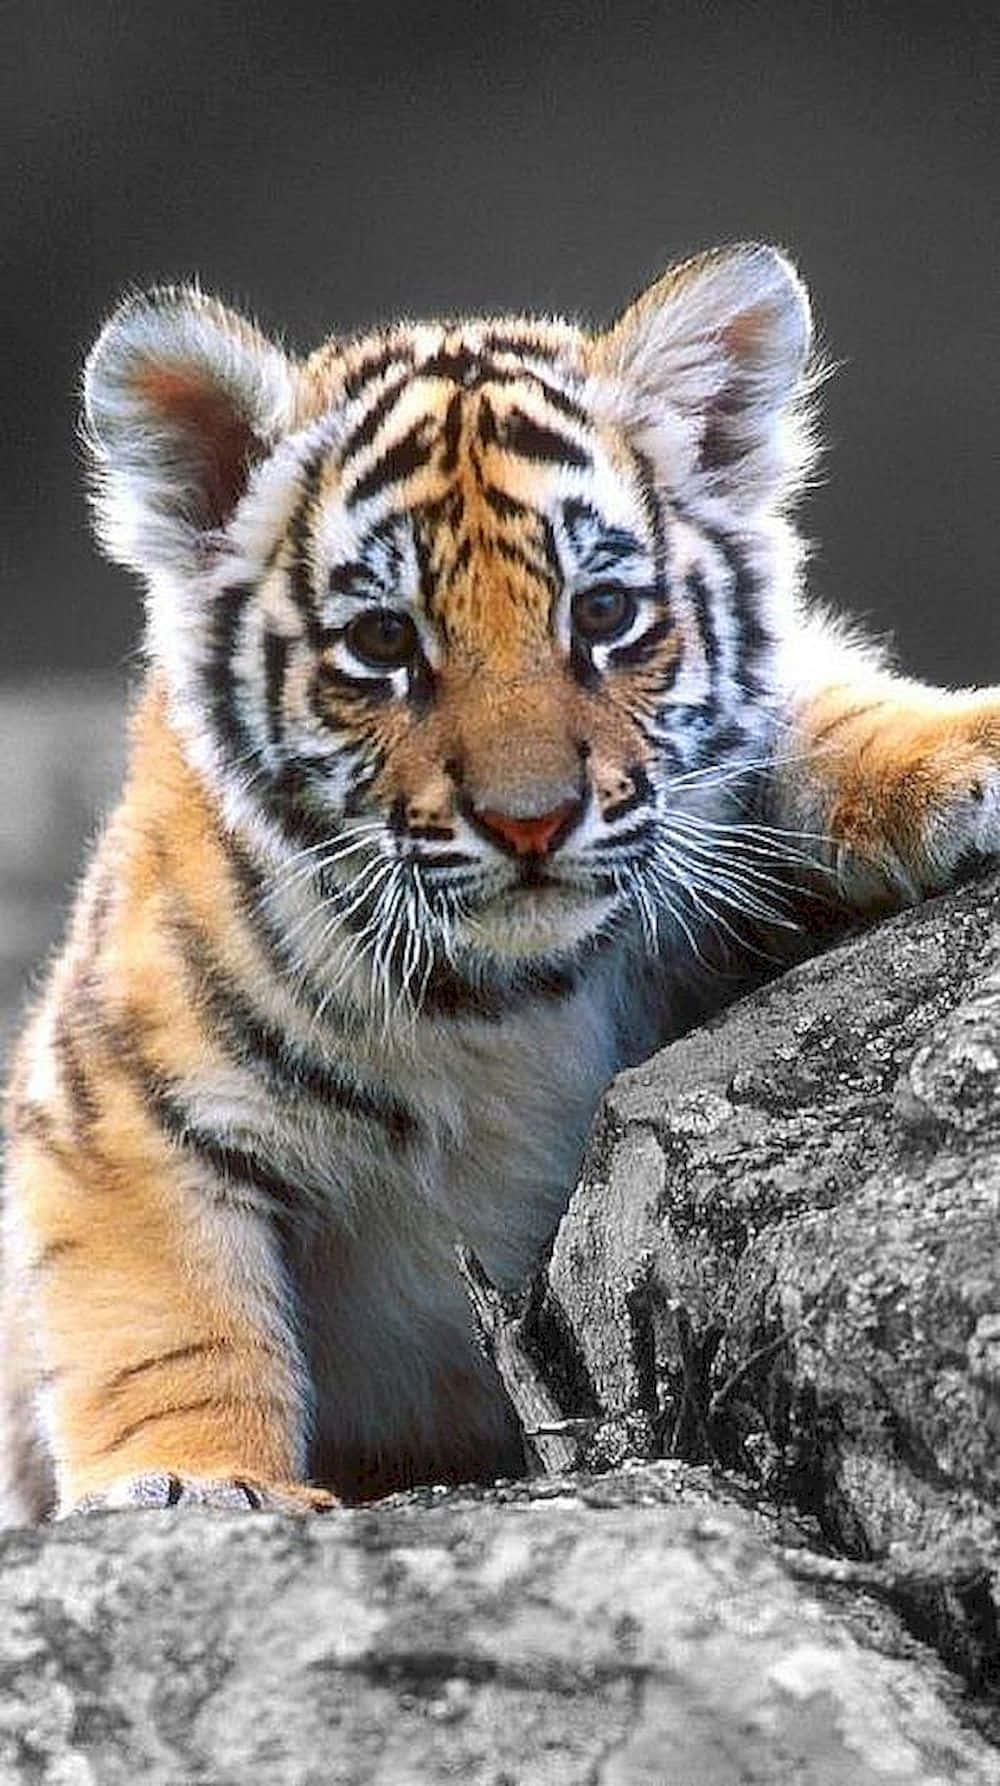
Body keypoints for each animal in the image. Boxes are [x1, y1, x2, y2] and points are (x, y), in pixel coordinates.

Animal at [2, 242, 998, 1523]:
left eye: (605, 613)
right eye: (382, 642)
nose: (531, 820)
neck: (499, 999)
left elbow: (815, 718)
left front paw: (966, 752)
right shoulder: (115, 1107)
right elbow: (170, 1325)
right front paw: (200, 1483)